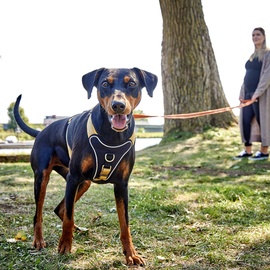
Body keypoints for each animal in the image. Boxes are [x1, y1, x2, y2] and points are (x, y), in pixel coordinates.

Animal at [13, 67, 158, 266]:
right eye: (104, 83)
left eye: (132, 83)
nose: (118, 105)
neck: (111, 136)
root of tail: (41, 131)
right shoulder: (73, 178)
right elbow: (68, 217)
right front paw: (65, 247)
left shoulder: (122, 184)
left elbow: (125, 224)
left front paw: (131, 254)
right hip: (44, 177)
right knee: (40, 214)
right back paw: (39, 240)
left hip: (82, 182)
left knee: (60, 208)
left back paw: (78, 229)